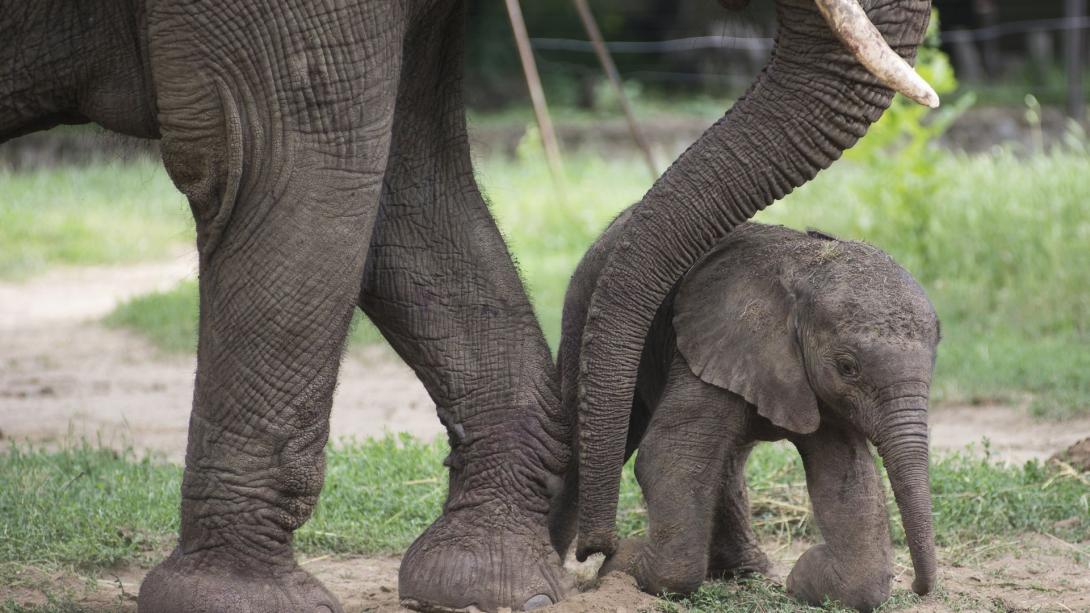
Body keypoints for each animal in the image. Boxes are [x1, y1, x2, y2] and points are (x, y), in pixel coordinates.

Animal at [558, 213, 941, 606]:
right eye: (848, 367)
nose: (917, 588)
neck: (806, 274)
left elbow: (845, 476)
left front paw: (802, 579)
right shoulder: (718, 344)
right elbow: (670, 457)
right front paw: (619, 566)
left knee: (728, 460)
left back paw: (747, 572)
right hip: (585, 310)